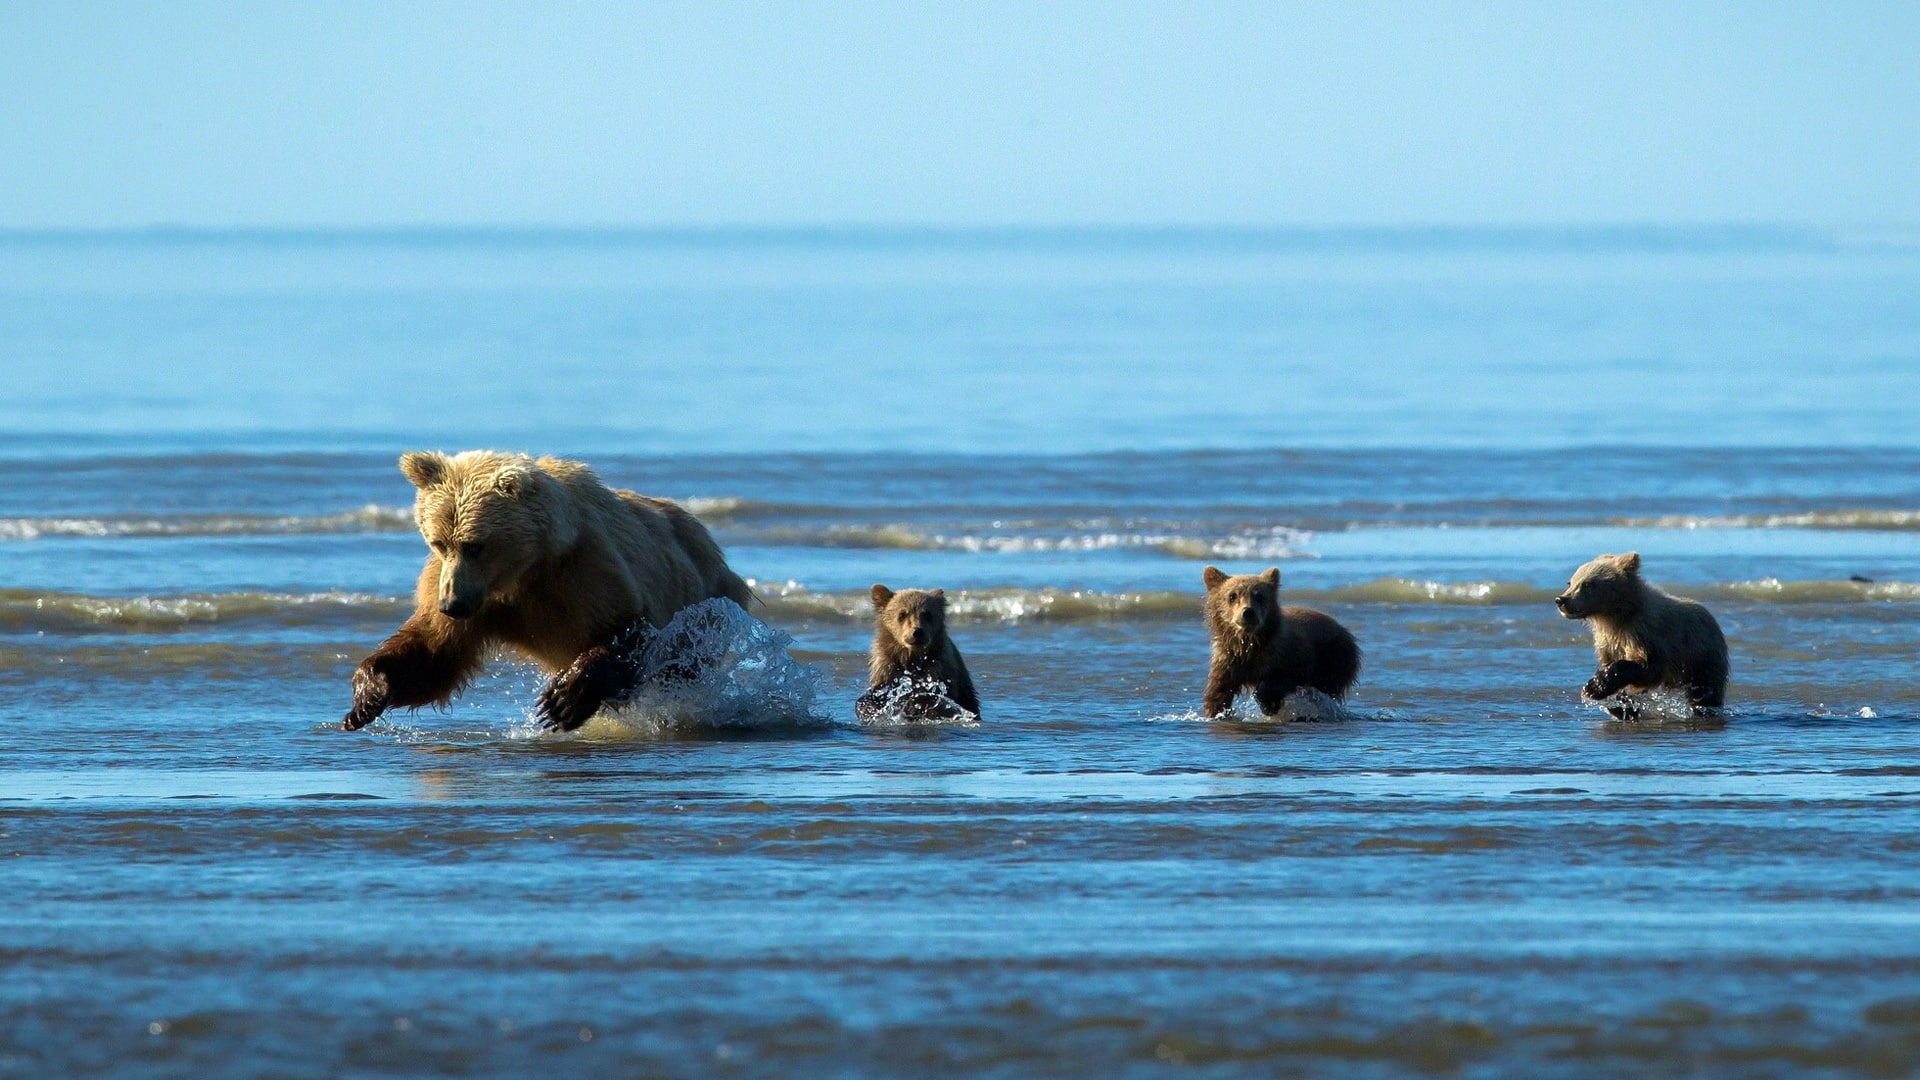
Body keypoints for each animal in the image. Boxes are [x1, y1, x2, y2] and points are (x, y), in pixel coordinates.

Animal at [342, 450, 753, 733]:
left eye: (476, 544)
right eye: (439, 542)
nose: (451, 605)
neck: (523, 572)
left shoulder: (585, 571)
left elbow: (628, 629)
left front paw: (561, 700)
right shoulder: (465, 591)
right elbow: (434, 654)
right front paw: (368, 694)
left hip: (704, 601)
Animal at [854, 584, 980, 721]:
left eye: (927, 614)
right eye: (902, 614)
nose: (917, 632)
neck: (912, 658)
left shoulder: (939, 668)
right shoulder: (887, 667)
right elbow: (875, 694)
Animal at [1202, 565, 1360, 718]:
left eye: (1259, 596)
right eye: (1232, 595)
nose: (1248, 612)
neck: (1249, 643)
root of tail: (1344, 629)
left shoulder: (1287, 656)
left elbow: (1283, 677)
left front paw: (1268, 704)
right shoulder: (1228, 660)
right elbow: (1218, 691)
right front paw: (1215, 711)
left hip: (1334, 657)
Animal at [1555, 551, 1728, 718]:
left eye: (1587, 584)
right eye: (1570, 582)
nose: (1561, 600)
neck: (1616, 616)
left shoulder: (1646, 634)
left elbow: (1648, 667)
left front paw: (1594, 687)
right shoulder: (1608, 642)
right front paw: (1618, 702)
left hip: (1702, 658)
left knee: (1704, 691)